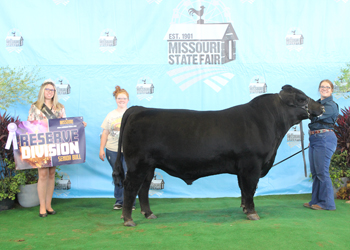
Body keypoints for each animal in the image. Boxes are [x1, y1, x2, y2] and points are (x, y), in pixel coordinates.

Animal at [113, 85, 324, 227]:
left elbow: (243, 189)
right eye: (302, 99)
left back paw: (149, 214)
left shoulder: (242, 168)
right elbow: (250, 189)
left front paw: (245, 209)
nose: (321, 108)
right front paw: (252, 213)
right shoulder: (252, 164)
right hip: (137, 164)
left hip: (149, 166)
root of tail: (138, 109)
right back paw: (128, 219)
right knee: (130, 187)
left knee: (144, 188)